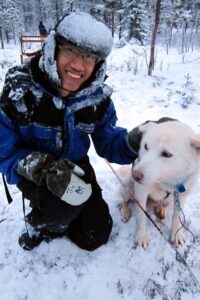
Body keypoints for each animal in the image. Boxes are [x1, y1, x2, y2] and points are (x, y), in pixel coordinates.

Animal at [120, 120, 200, 250]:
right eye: (146, 146)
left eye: (166, 154)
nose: (135, 175)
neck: (168, 182)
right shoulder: (141, 192)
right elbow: (141, 217)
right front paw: (141, 237)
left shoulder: (182, 195)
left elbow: (177, 217)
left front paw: (177, 235)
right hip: (127, 187)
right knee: (124, 201)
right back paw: (125, 211)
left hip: (170, 199)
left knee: (161, 203)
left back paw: (161, 209)